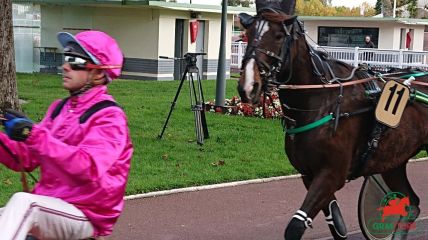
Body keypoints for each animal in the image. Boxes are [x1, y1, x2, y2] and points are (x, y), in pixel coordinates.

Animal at [239, 0, 426, 239]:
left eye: (279, 35)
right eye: (248, 33)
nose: (248, 86)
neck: (321, 100)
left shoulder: (332, 174)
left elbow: (295, 227)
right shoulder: (309, 174)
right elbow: (336, 223)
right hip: (393, 160)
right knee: (412, 201)